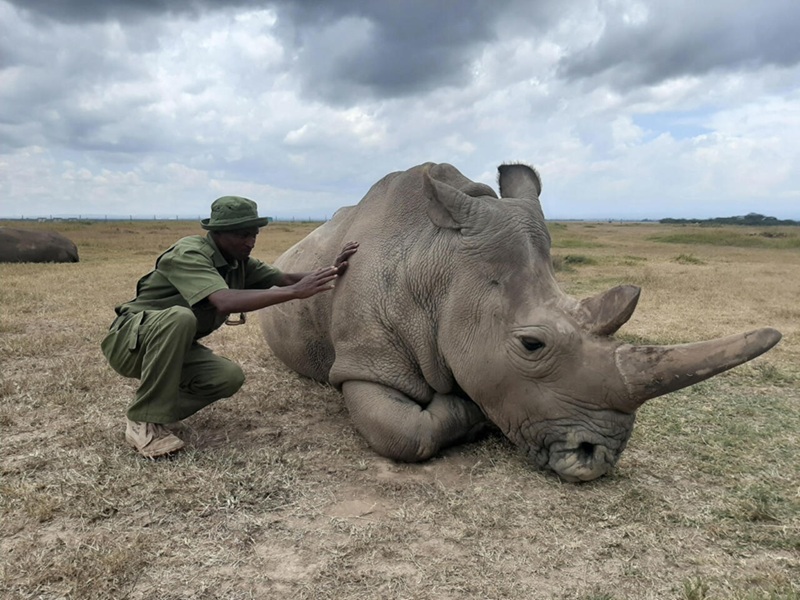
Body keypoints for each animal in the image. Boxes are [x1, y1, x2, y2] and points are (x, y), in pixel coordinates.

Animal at [260, 163, 780, 482]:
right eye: (532, 345)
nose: (597, 458)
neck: (441, 264)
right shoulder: (362, 364)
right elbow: (405, 434)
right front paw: (469, 412)